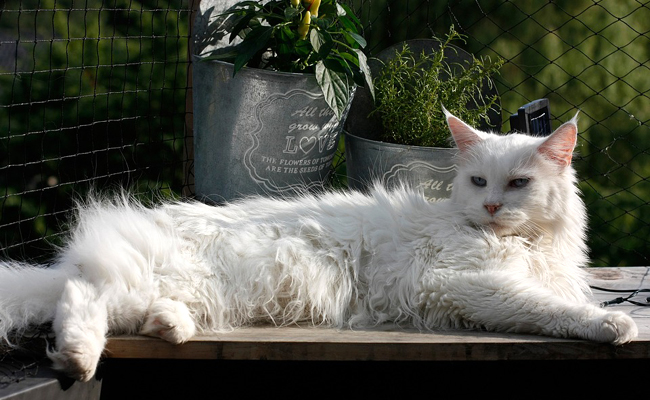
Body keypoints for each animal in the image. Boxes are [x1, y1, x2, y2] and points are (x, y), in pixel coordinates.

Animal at [0, 109, 636, 382]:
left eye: (519, 183)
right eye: (480, 182)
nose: (492, 207)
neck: (526, 244)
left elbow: (556, 297)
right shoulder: (461, 284)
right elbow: (547, 308)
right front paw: (612, 324)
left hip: (180, 290)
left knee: (119, 309)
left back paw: (170, 327)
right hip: (138, 278)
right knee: (80, 299)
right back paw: (78, 360)